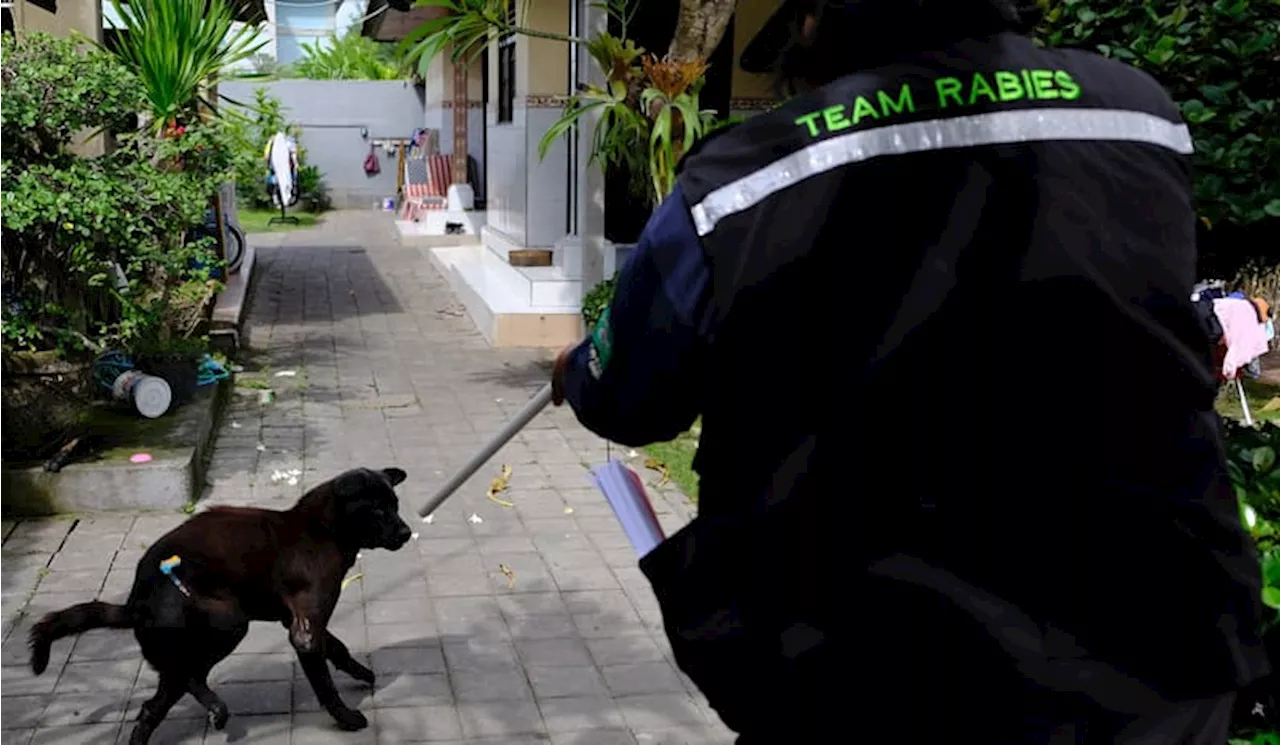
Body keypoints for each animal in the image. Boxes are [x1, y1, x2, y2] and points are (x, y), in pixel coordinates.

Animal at [27, 471, 412, 742]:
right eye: (379, 509)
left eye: (396, 505)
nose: (407, 533)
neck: (324, 529)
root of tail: (135, 602)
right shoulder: (304, 630)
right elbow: (325, 684)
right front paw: (346, 718)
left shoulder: (299, 621)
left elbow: (339, 649)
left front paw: (362, 674)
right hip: (229, 622)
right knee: (188, 679)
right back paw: (216, 708)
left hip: (186, 652)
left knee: (153, 706)